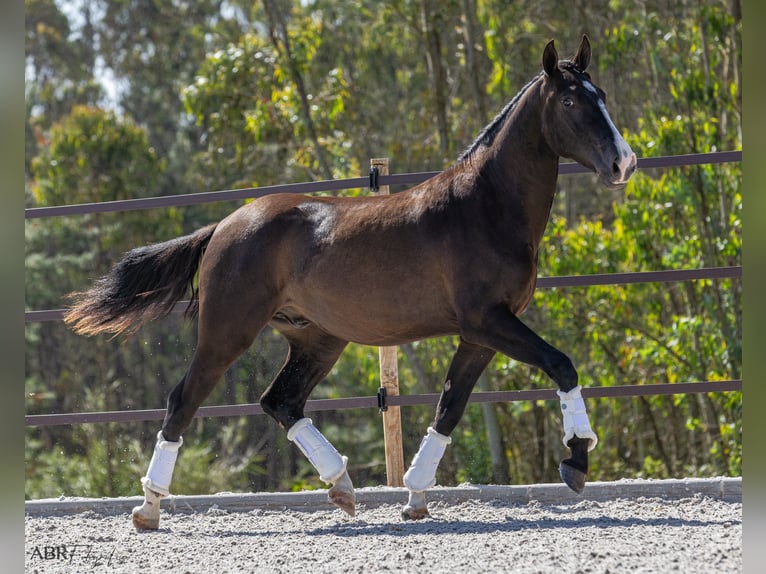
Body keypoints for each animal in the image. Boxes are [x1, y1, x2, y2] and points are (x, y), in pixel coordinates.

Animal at [64, 36, 636, 532]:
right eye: (569, 99)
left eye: (603, 96)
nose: (623, 162)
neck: (484, 206)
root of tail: (226, 225)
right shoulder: (489, 321)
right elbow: (561, 365)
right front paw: (577, 460)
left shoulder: (479, 334)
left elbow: (449, 408)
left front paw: (416, 497)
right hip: (228, 333)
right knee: (183, 401)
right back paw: (148, 509)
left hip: (317, 338)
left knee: (280, 402)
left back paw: (341, 487)